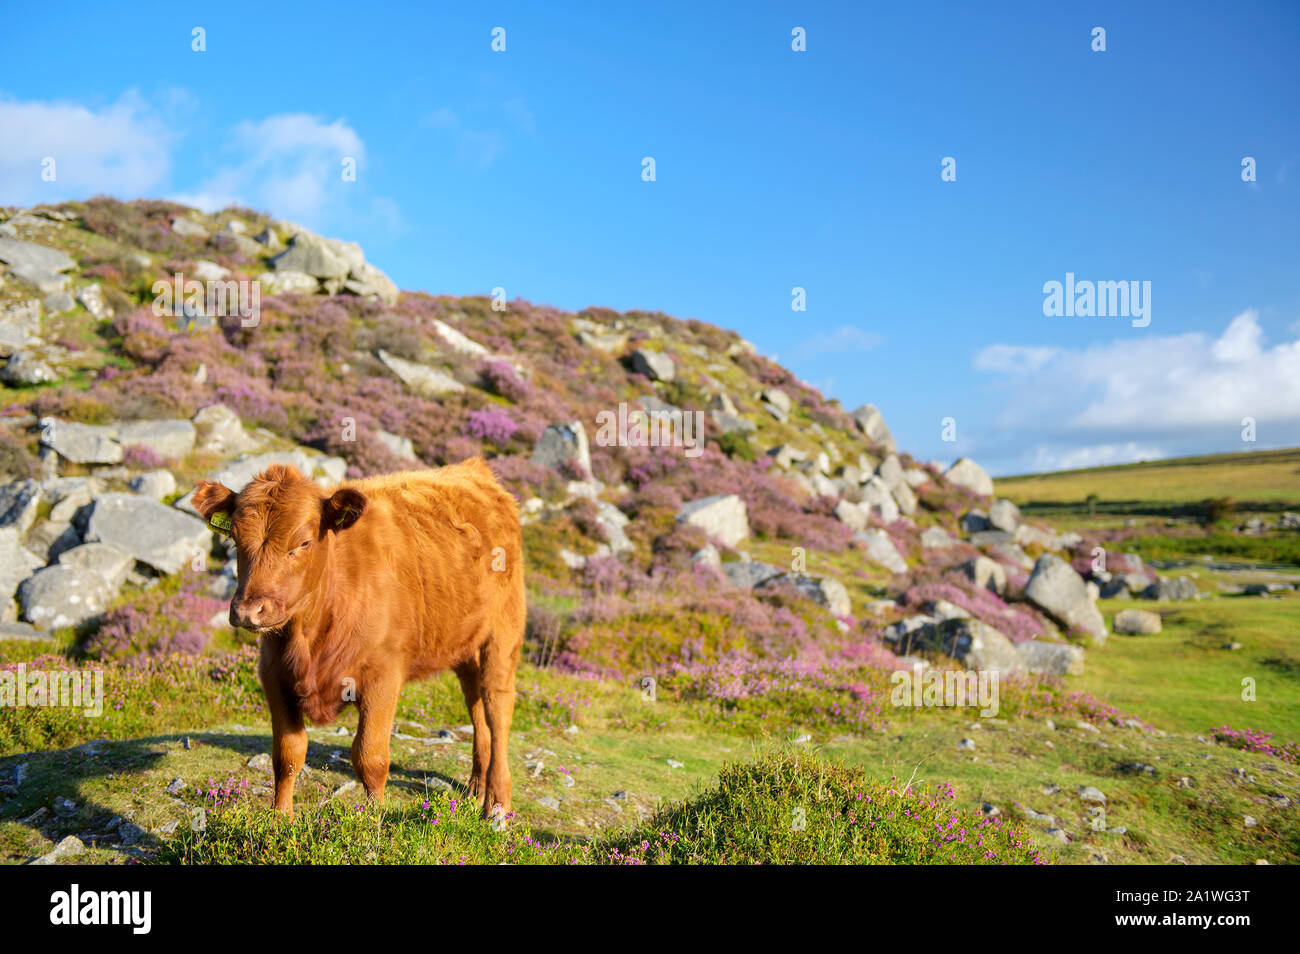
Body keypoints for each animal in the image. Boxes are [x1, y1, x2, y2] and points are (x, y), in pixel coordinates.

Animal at [191, 459, 526, 821]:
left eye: (303, 543)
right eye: (235, 539)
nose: (248, 611)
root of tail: (474, 471)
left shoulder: (383, 677)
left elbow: (370, 758)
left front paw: (373, 821)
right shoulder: (273, 674)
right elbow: (287, 755)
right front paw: (280, 819)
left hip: (503, 636)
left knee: (497, 710)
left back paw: (498, 803)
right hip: (465, 646)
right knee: (477, 709)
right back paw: (477, 788)